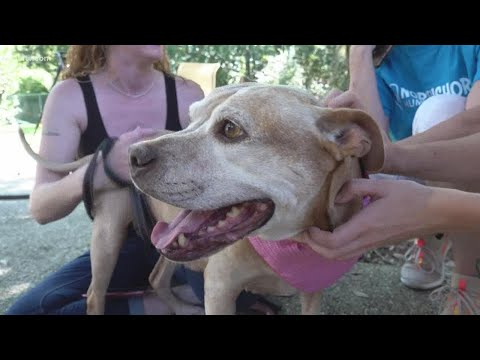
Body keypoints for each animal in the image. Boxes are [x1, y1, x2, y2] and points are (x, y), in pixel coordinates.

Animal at [129, 83, 384, 314]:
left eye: (230, 128)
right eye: (189, 120)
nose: (132, 155)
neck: (292, 242)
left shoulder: (313, 289)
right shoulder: (219, 290)